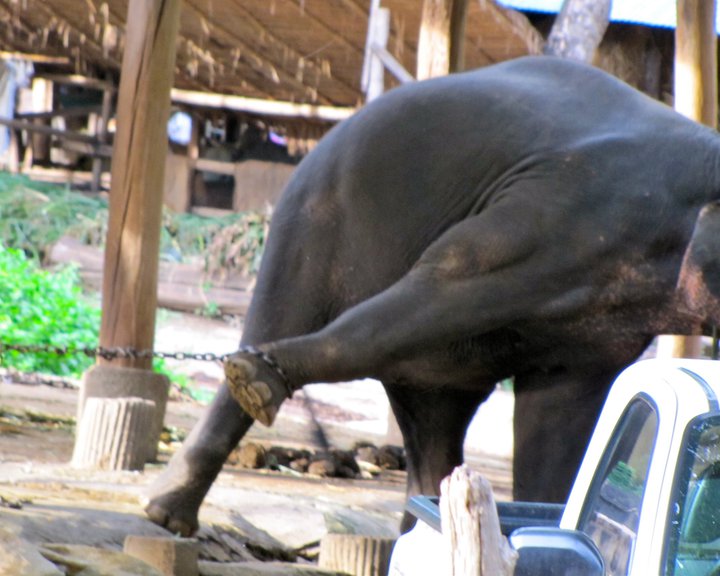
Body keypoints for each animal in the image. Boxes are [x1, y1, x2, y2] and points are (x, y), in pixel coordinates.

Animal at [143, 55, 720, 536]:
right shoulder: (580, 209)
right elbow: (453, 276)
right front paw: (258, 378)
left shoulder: (599, 328)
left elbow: (556, 414)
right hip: (313, 215)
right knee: (282, 314)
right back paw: (182, 491)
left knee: (434, 428)